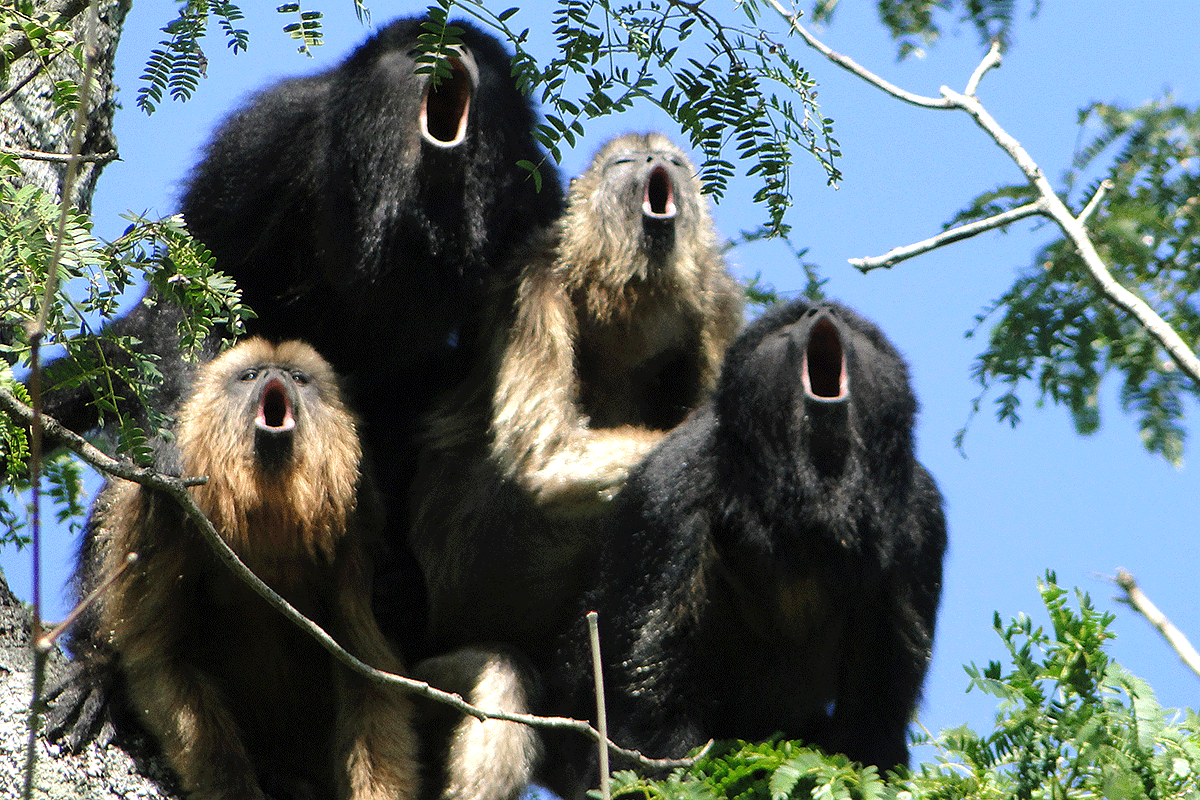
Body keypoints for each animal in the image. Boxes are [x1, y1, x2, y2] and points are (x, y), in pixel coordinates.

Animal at [75, 338, 420, 800]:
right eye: (251, 376)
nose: (275, 376)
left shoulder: (358, 525)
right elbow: (160, 655)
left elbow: (371, 673)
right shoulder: (167, 502)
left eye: (298, 378)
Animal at [549, 299, 945, 796]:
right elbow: (648, 704)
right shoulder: (672, 488)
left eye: (855, 328)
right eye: (788, 324)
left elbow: (874, 719)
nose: (821, 309)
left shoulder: (921, 518)